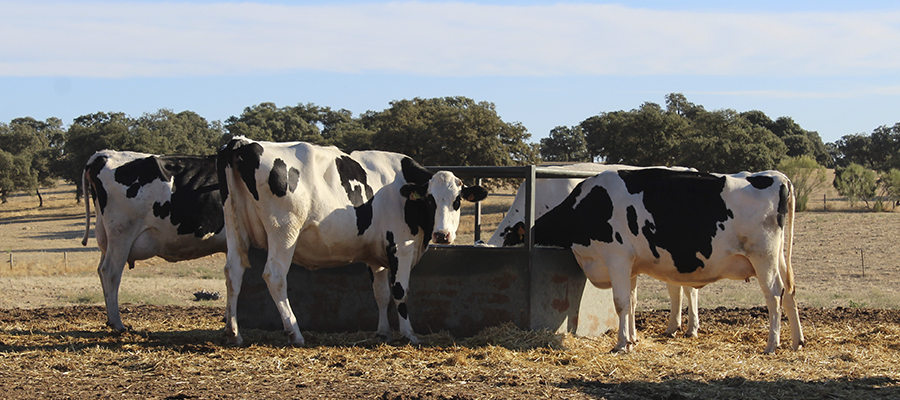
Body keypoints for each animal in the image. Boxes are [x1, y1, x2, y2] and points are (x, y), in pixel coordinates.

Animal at [82, 150, 227, 332]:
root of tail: (104, 154)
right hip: (121, 235)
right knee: (110, 272)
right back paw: (117, 323)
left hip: (106, 240)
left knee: (101, 271)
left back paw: (109, 319)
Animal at [217, 136, 486, 346]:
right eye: (430, 200)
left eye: (457, 200)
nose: (442, 234)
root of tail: (242, 142)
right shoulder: (400, 247)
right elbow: (400, 291)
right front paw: (409, 334)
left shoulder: (375, 256)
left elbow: (381, 294)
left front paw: (383, 333)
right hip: (284, 230)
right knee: (274, 276)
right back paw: (295, 333)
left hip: (234, 224)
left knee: (233, 271)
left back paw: (233, 333)